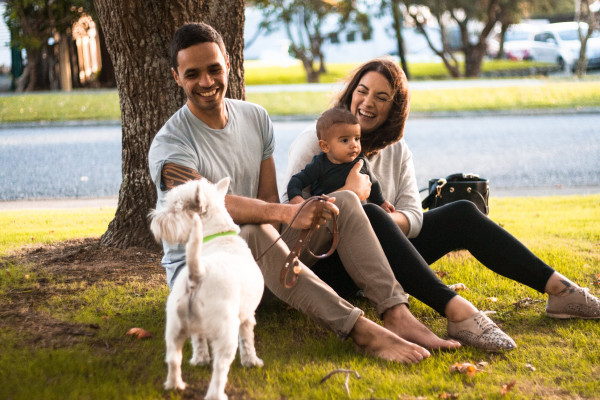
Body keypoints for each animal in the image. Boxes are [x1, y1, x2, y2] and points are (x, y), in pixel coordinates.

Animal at [149, 178, 264, 400]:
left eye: (174, 209)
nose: (154, 221)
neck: (219, 236)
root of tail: (198, 274)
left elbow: (198, 341)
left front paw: (199, 360)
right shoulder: (247, 316)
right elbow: (248, 341)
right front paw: (252, 362)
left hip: (174, 327)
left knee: (174, 358)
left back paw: (175, 385)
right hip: (226, 333)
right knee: (220, 368)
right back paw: (216, 394)